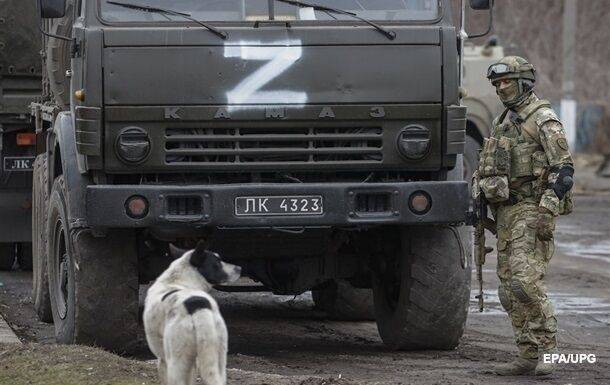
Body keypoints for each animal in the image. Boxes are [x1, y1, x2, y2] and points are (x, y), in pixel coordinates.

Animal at [144, 242, 240, 382]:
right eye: (217, 262)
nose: (240, 268)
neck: (177, 280)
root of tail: (198, 306)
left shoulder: (162, 360)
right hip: (219, 359)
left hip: (176, 362)